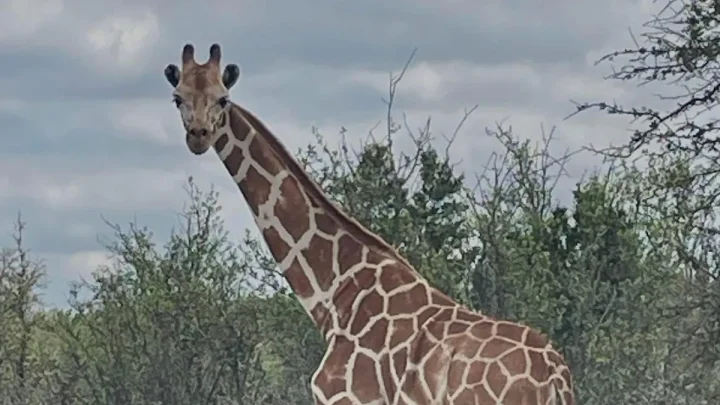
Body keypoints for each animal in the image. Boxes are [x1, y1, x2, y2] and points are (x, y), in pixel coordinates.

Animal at [163, 43, 576, 405]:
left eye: (223, 99)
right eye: (178, 98)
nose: (198, 136)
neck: (334, 296)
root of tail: (556, 378)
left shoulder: (346, 398)